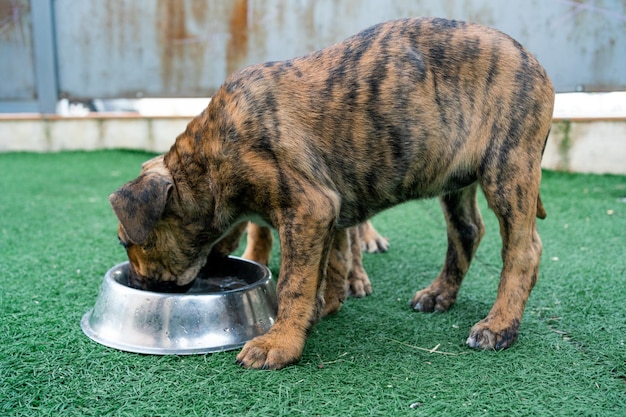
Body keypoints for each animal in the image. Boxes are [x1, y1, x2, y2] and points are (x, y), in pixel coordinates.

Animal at [109, 17, 552, 368]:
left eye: (124, 242)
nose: (140, 284)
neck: (211, 156)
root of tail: (536, 62)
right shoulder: (329, 209)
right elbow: (331, 262)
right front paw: (325, 308)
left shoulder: (307, 207)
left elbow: (294, 281)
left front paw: (279, 342)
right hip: (458, 179)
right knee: (467, 231)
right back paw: (439, 294)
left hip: (508, 168)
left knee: (524, 250)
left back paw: (499, 325)